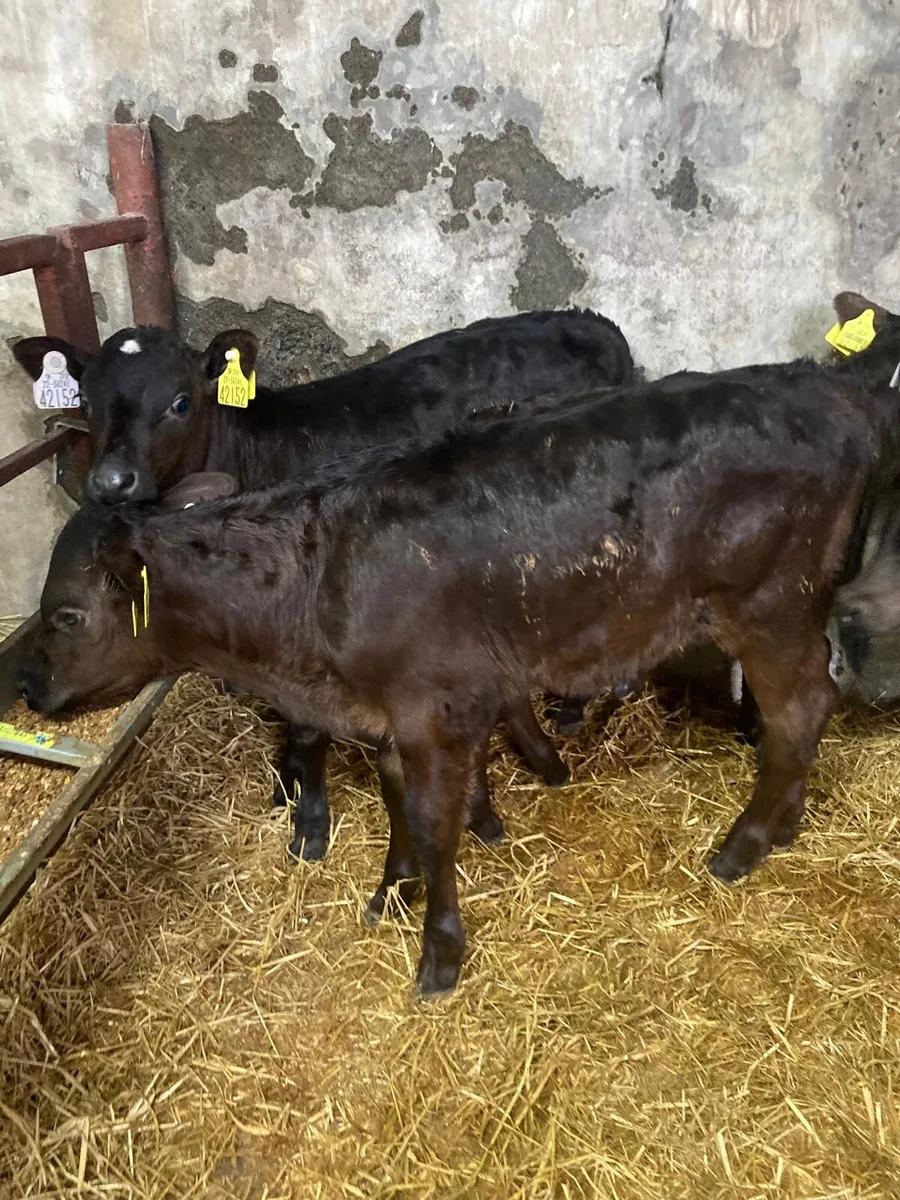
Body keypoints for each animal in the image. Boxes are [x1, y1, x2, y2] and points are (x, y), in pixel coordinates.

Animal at [14, 309, 634, 860]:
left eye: (180, 401)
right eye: (85, 402)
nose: (111, 482)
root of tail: (592, 323)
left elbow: (309, 731)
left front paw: (308, 820)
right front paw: (283, 787)